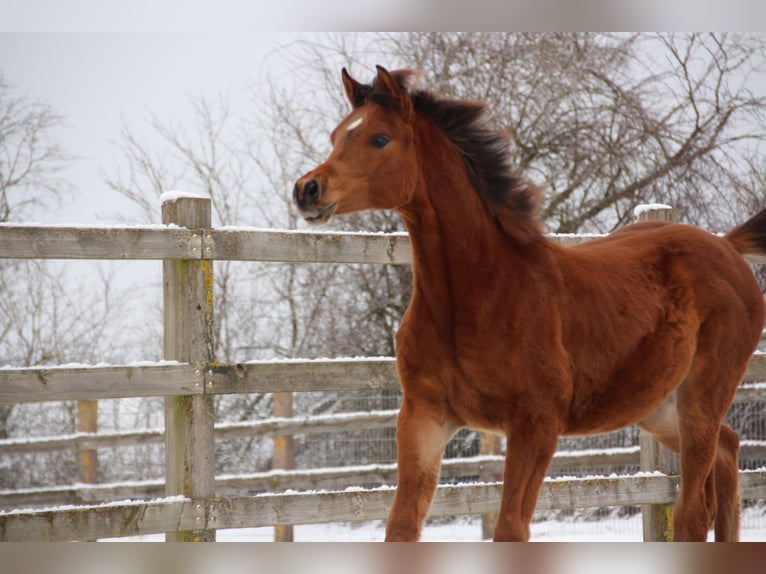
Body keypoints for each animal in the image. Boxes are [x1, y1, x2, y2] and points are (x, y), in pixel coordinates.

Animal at [292, 65, 766, 544]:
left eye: (380, 138)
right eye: (336, 136)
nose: (307, 189)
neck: (476, 297)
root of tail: (727, 246)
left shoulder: (535, 426)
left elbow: (510, 528)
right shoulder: (423, 418)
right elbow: (402, 527)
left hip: (703, 395)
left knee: (693, 510)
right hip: (659, 406)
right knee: (728, 452)